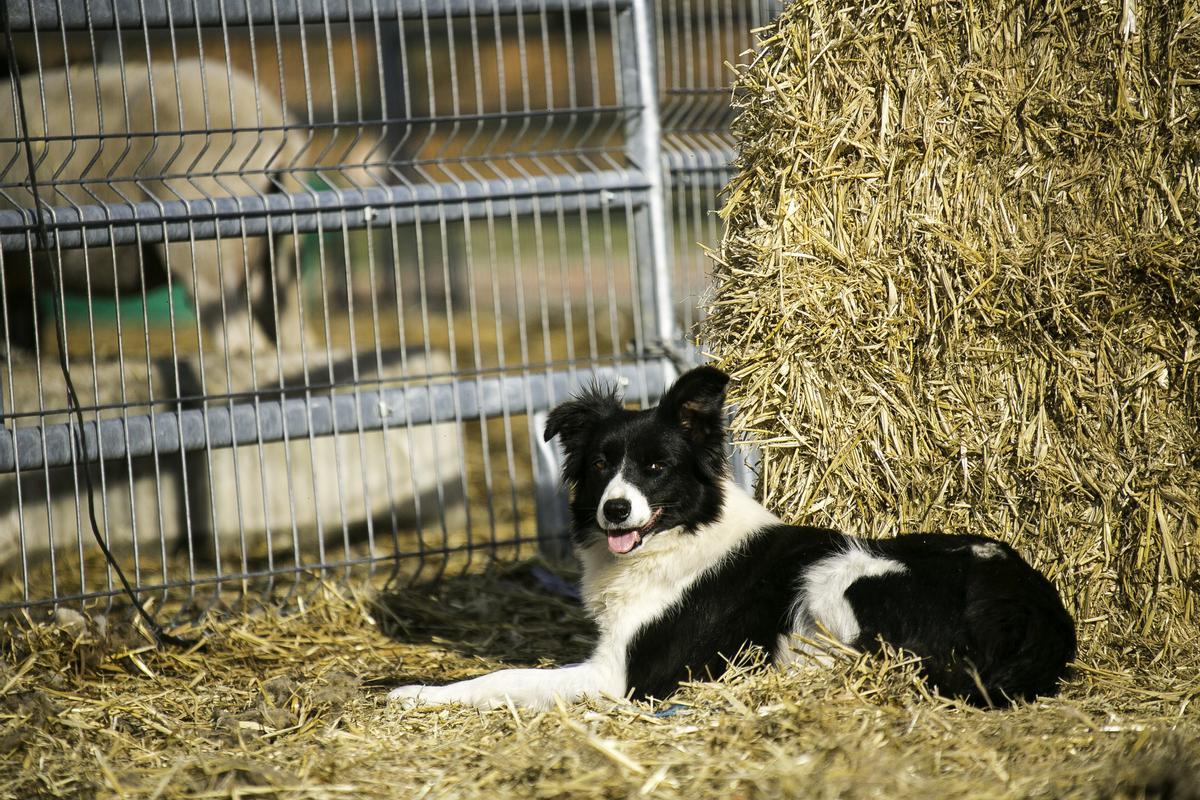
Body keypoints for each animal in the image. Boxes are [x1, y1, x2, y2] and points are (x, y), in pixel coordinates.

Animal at [393, 367, 1080, 710]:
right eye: (600, 464)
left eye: (656, 467)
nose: (615, 510)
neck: (680, 536)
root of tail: (1038, 608)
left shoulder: (622, 676)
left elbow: (503, 678)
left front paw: (417, 693)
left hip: (845, 574)